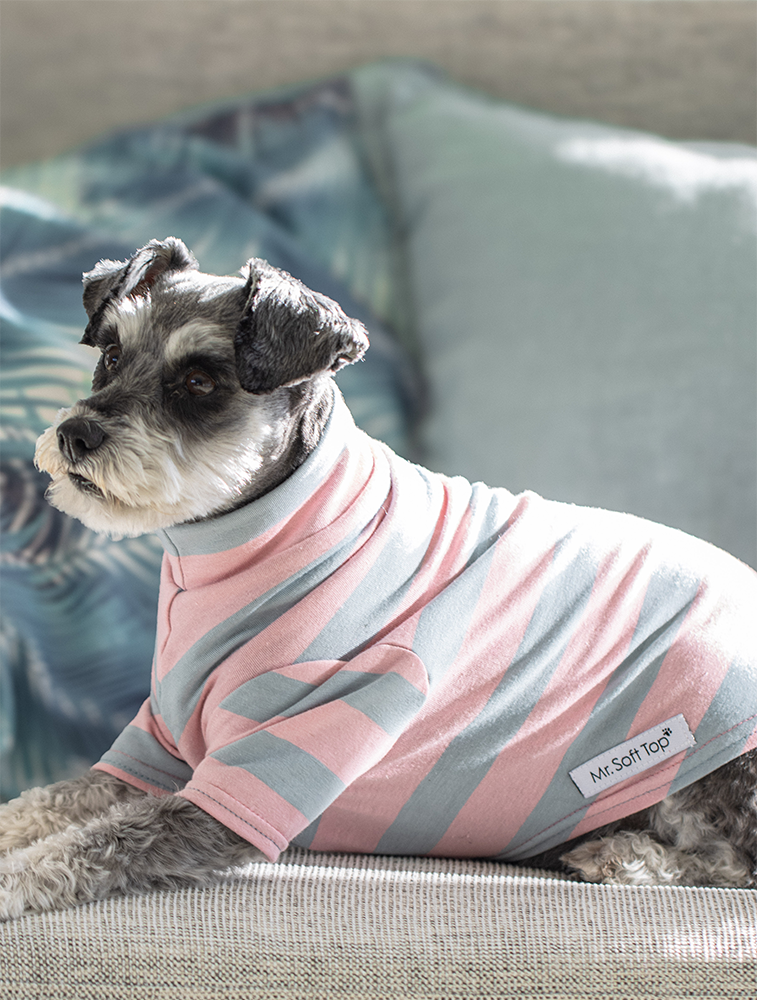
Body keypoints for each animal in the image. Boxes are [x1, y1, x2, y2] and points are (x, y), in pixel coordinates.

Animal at [0, 236, 752, 920]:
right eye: (111, 354)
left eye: (198, 382)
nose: (74, 436)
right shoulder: (154, 754)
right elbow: (44, 803)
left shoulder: (246, 785)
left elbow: (90, 845)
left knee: (732, 862)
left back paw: (624, 856)